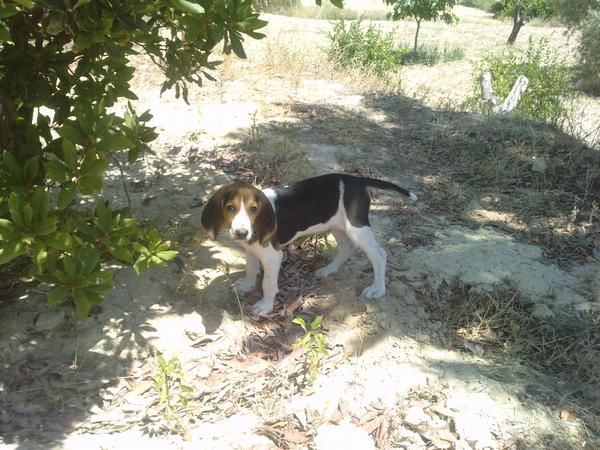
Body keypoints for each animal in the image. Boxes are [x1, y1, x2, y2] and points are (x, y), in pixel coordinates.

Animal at [202, 172, 418, 316]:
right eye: (230, 208)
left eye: (253, 209)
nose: (241, 233)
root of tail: (358, 179)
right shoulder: (252, 250)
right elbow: (250, 269)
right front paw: (247, 285)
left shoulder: (273, 256)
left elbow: (268, 283)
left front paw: (265, 306)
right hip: (336, 225)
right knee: (346, 247)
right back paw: (329, 270)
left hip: (357, 227)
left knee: (379, 256)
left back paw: (377, 289)